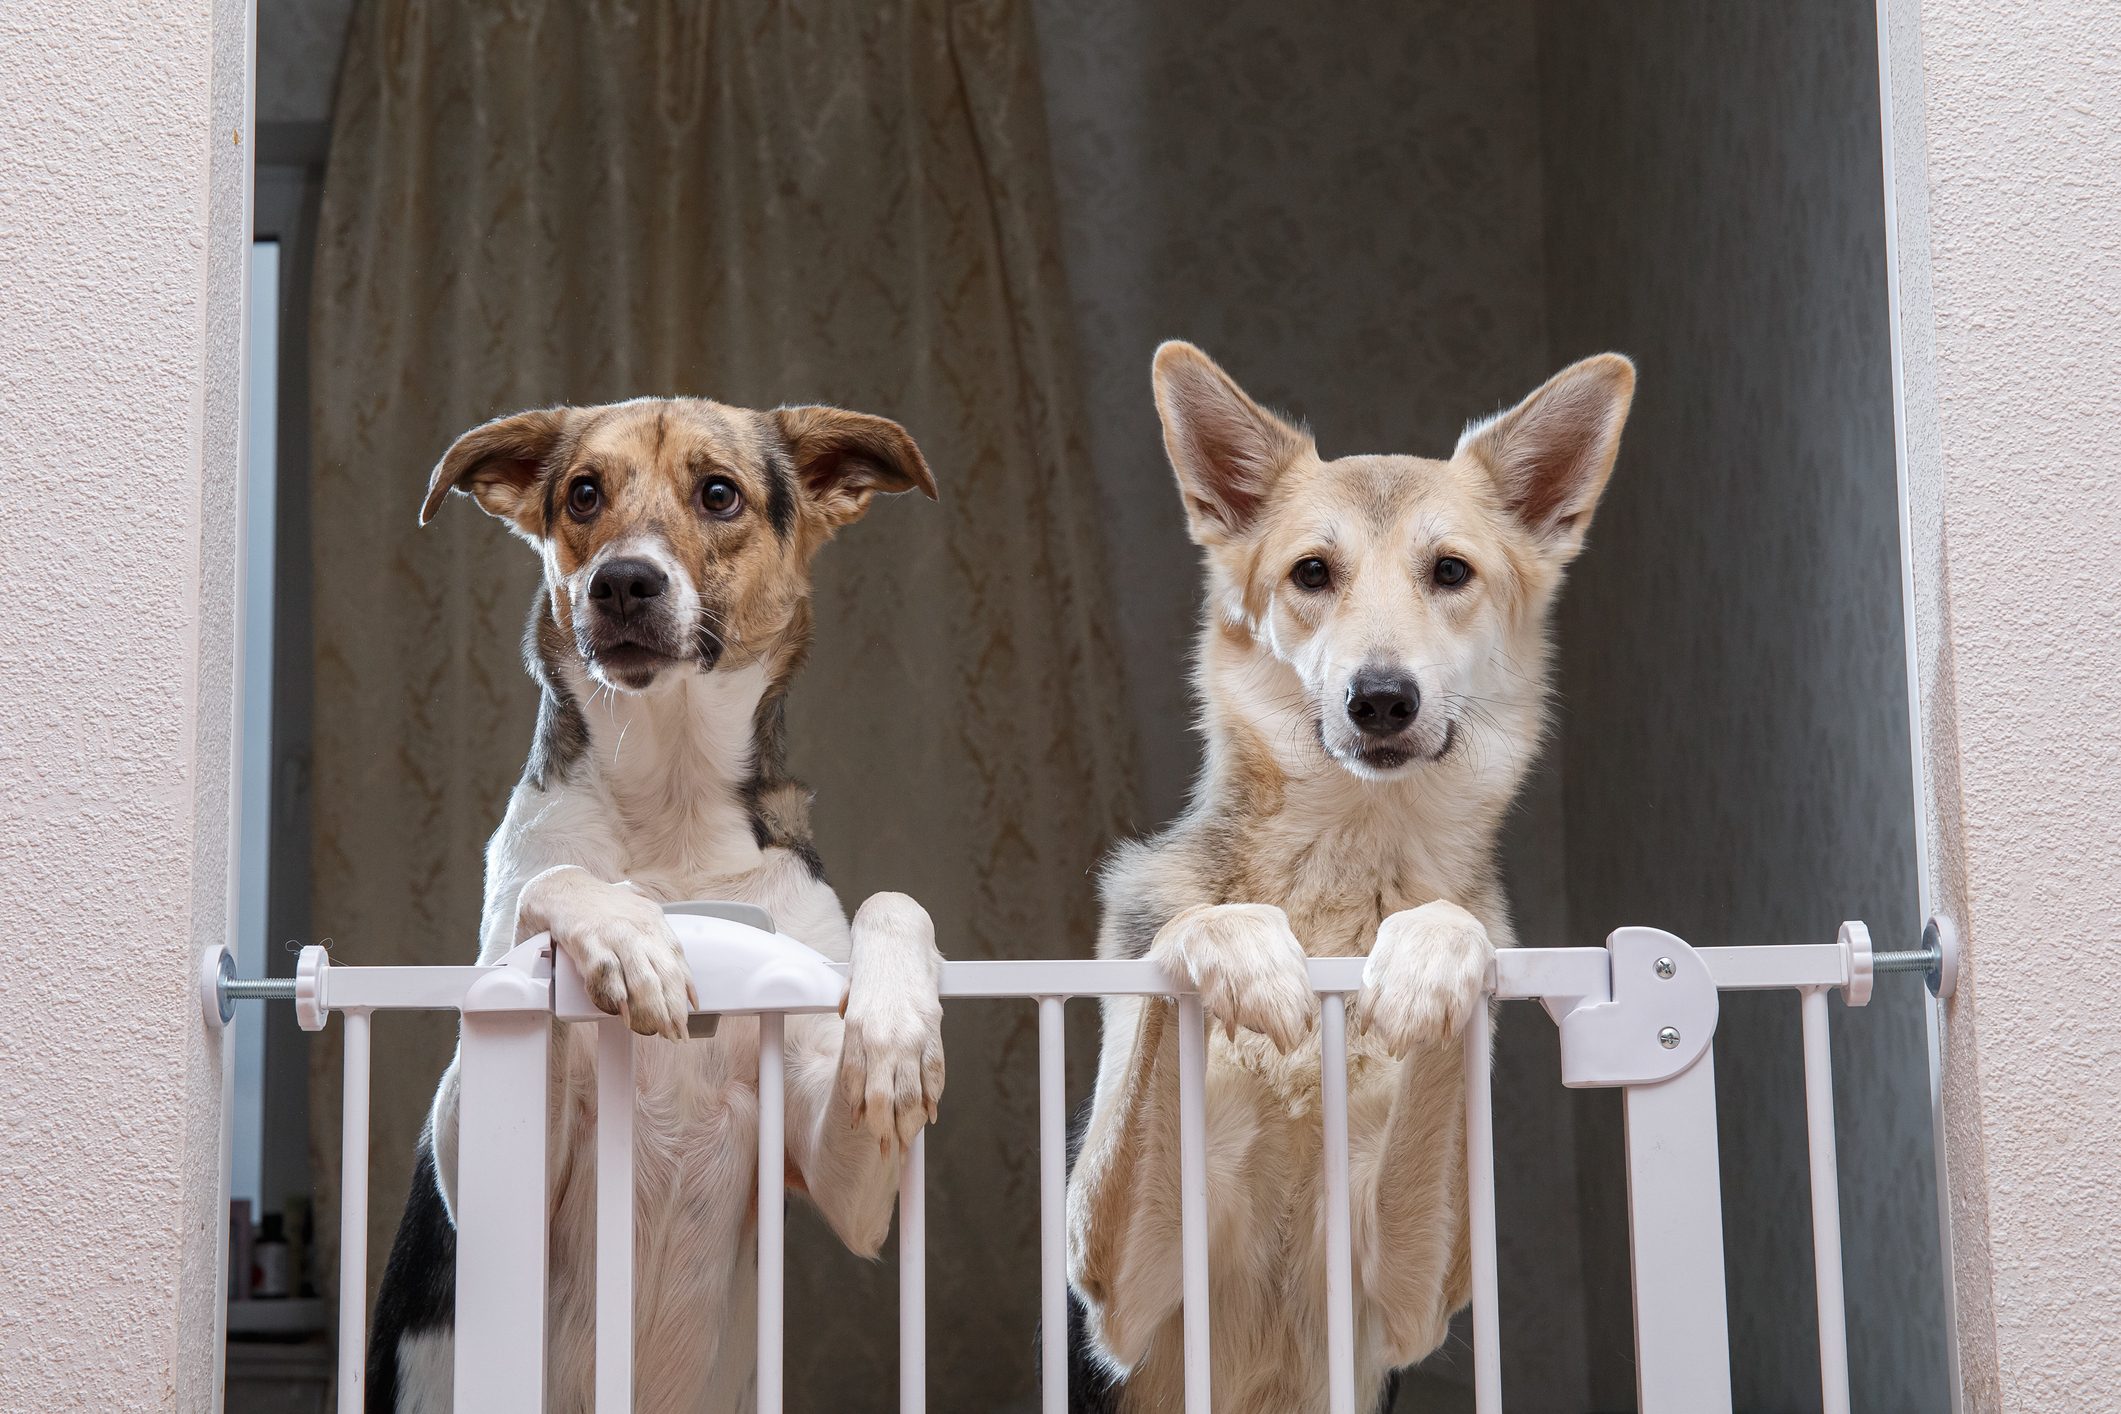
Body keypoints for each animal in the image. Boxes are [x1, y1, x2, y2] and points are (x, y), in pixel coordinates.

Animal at [369, 392, 950, 1407]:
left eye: (718, 493)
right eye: (582, 493)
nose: (622, 583)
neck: (672, 806)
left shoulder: (841, 1175)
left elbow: (894, 904)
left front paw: (895, 1030)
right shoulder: (479, 1163)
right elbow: (557, 880)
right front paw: (631, 941)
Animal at [1068, 337, 1628, 1407]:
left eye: (1449, 571)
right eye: (1311, 573)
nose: (1379, 699)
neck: (1345, 864)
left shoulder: (1409, 1286)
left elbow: (1452, 943)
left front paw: (1427, 961)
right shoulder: (1123, 1280)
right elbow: (1184, 936)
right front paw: (1238, 946)